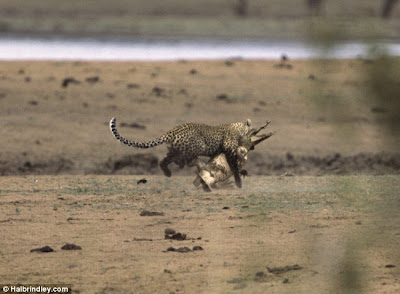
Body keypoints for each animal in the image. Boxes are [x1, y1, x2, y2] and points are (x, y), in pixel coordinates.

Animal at [108, 116, 253, 187]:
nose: (251, 144)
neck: (238, 128)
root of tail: (172, 130)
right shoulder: (229, 150)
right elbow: (234, 165)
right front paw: (239, 181)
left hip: (177, 148)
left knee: (165, 159)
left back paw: (168, 172)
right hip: (195, 147)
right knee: (179, 158)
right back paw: (182, 165)